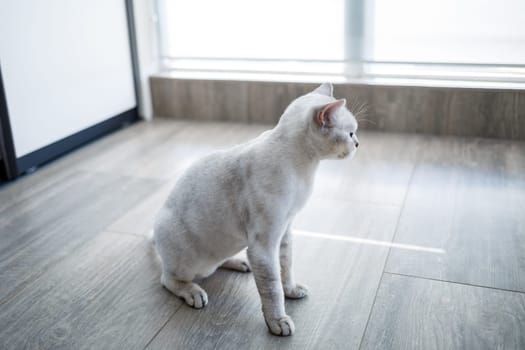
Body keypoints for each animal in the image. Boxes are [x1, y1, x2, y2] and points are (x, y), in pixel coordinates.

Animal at [151, 82, 356, 336]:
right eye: (351, 133)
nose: (358, 144)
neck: (304, 169)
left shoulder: (284, 231)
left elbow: (286, 267)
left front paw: (291, 290)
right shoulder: (264, 245)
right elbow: (272, 288)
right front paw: (278, 322)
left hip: (229, 245)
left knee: (216, 263)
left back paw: (239, 263)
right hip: (187, 259)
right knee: (168, 279)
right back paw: (194, 292)